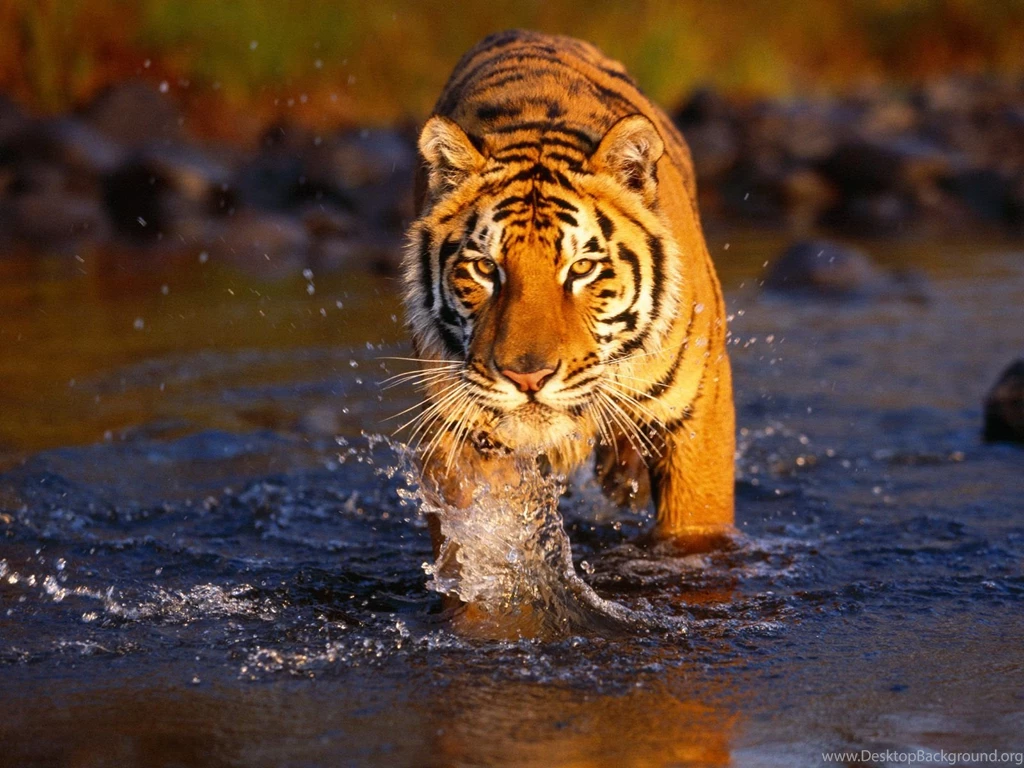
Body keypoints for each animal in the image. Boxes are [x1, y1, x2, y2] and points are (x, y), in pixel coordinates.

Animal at [400, 29, 735, 560]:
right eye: (485, 268)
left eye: (581, 268)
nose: (527, 378)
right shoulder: (461, 431)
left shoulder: (698, 414)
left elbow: (695, 529)